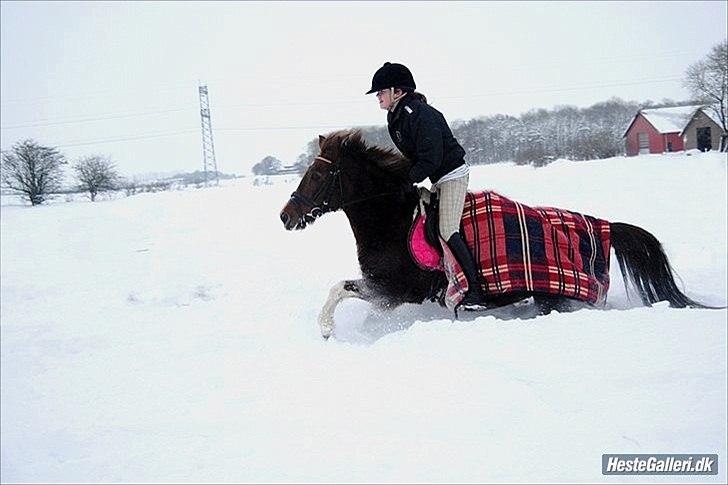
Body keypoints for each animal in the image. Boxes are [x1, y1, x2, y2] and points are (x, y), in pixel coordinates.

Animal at [278, 130, 712, 338]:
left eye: (316, 174)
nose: (285, 216)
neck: (391, 219)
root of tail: (599, 225)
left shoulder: (396, 289)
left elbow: (339, 289)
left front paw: (327, 330)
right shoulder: (386, 292)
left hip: (554, 298)